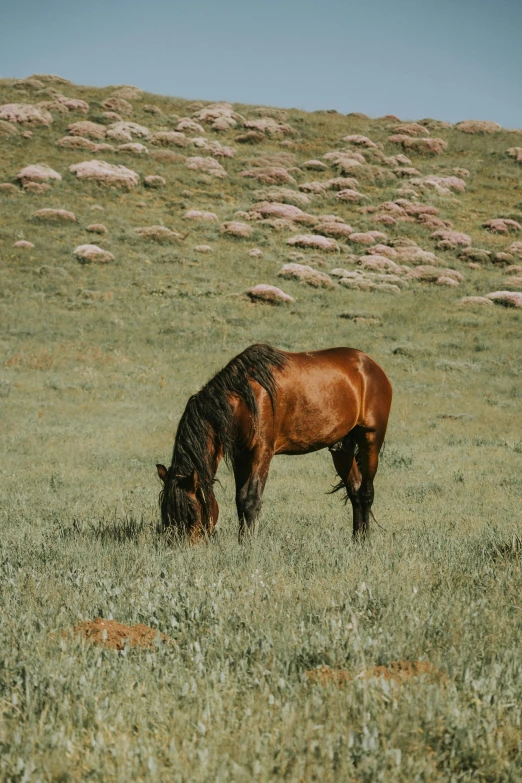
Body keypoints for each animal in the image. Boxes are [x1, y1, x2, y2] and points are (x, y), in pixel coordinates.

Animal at [154, 346, 390, 544]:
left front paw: (247, 546)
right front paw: (242, 540)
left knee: (366, 492)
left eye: (192, 513)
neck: (243, 399)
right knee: (355, 490)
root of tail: (371, 365)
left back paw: (365, 542)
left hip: (371, 439)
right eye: (166, 514)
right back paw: (356, 540)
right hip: (341, 448)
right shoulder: (241, 456)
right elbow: (240, 500)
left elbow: (251, 501)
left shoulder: (262, 453)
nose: (184, 548)